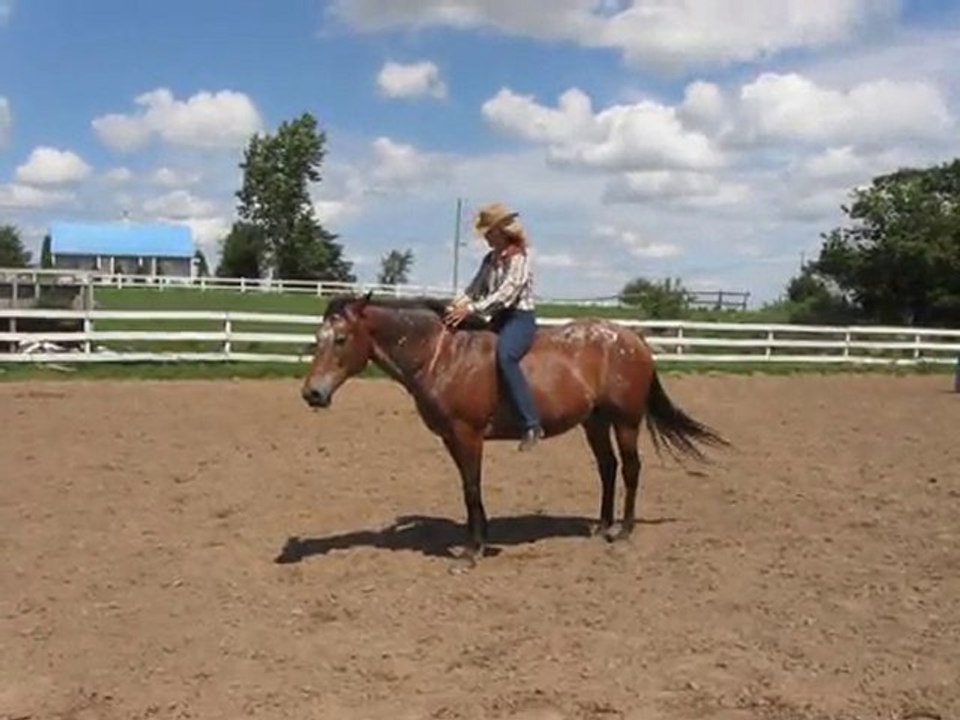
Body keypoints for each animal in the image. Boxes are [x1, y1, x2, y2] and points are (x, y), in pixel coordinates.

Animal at [300, 292, 728, 571]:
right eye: (317, 340)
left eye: (341, 339)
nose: (312, 393)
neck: (443, 357)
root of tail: (632, 337)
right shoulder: (451, 438)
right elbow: (468, 488)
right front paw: (480, 539)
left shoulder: (468, 435)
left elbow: (472, 488)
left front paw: (471, 553)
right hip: (595, 421)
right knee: (607, 468)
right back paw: (602, 526)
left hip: (625, 420)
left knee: (630, 469)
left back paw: (623, 532)